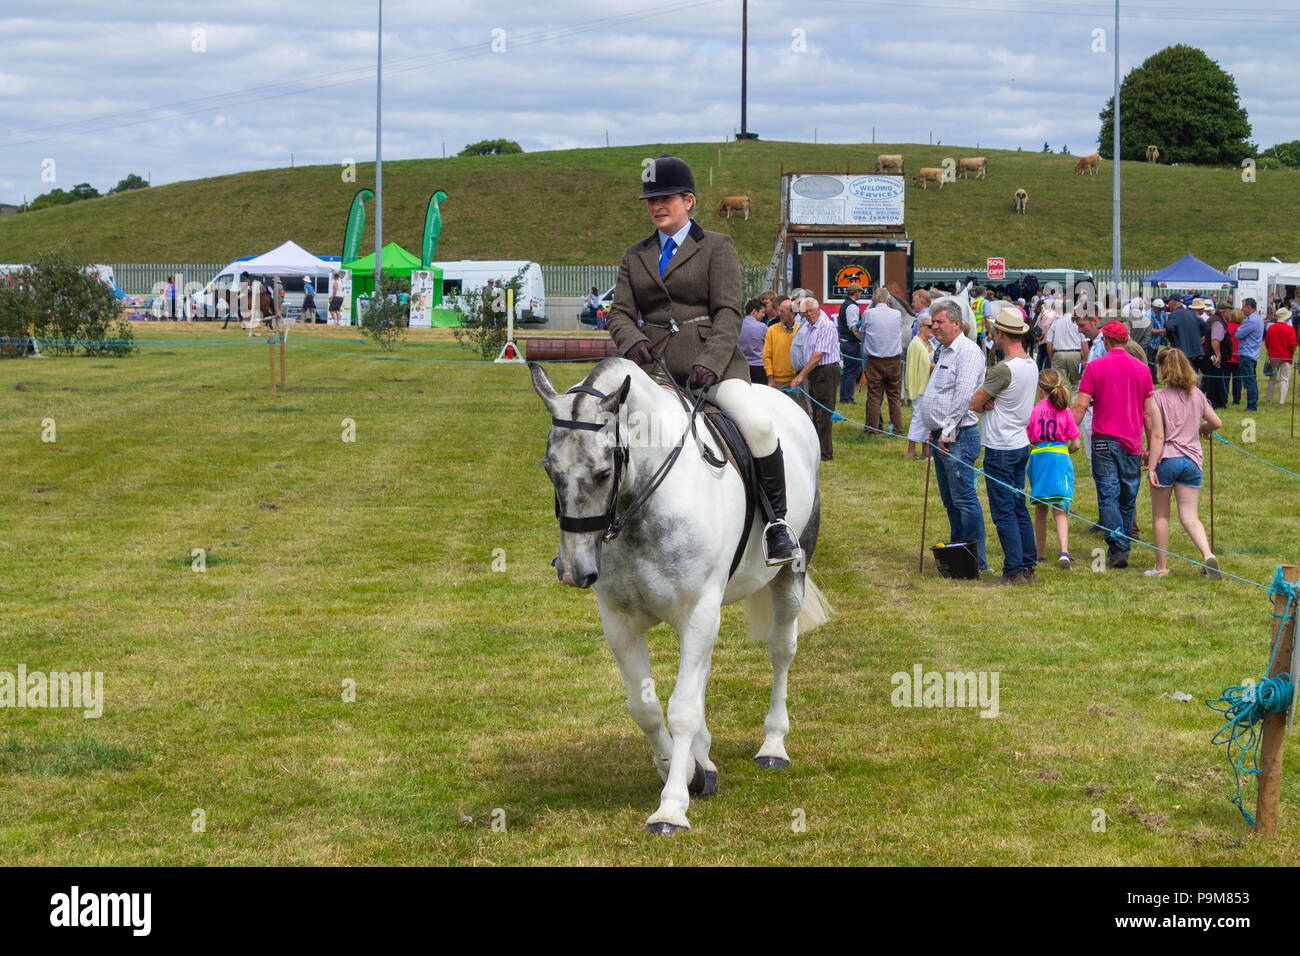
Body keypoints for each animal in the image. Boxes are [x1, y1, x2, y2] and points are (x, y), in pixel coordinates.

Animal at [530, 361, 826, 837]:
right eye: (548, 470)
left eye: (603, 472)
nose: (575, 572)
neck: (639, 504)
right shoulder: (620, 622)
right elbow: (646, 707)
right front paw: (684, 769)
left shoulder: (698, 612)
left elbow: (683, 707)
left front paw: (671, 808)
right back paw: (703, 754)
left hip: (788, 574)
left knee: (781, 650)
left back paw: (773, 745)